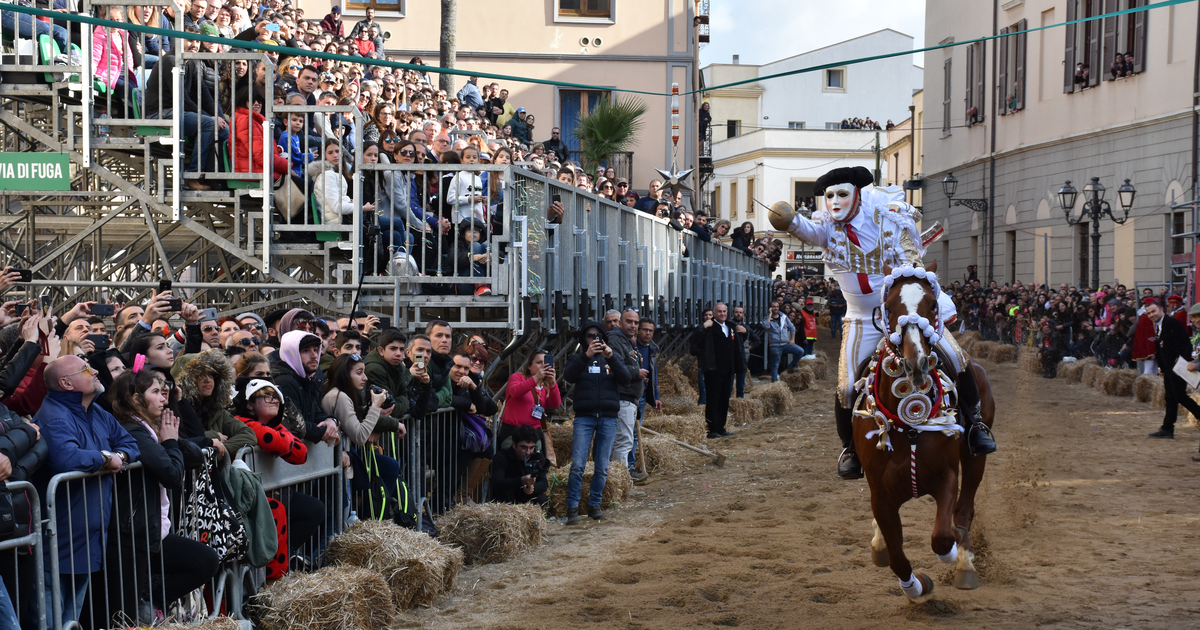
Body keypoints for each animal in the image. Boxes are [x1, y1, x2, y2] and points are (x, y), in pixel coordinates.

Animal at [849, 259, 998, 600]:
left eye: (932, 304)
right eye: (890, 307)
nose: (914, 363)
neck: (910, 429)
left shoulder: (947, 475)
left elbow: (942, 536)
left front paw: (953, 555)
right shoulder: (881, 495)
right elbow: (897, 557)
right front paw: (916, 586)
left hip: (975, 458)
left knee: (965, 510)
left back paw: (965, 564)